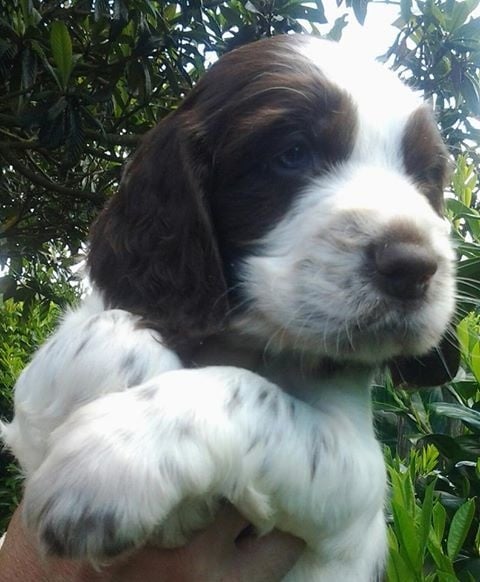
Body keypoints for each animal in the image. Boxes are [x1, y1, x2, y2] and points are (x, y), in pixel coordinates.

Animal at [0, 36, 458, 582]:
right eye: (292, 153)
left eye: (426, 175)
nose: (413, 268)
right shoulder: (39, 392)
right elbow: (110, 331)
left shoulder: (357, 484)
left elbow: (251, 392)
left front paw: (112, 460)